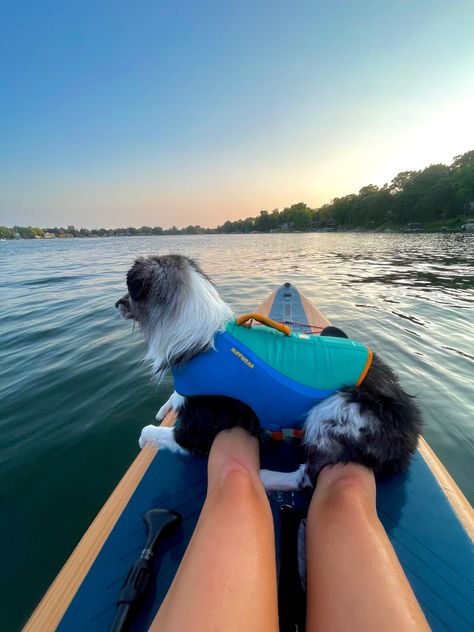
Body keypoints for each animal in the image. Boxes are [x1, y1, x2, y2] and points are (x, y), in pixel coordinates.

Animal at [115, 254, 422, 492]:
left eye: (130, 290)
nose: (117, 304)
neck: (203, 339)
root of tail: (410, 430)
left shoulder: (201, 431)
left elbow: (153, 431)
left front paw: (145, 437)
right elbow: (174, 398)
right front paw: (165, 406)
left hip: (338, 409)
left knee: (308, 477)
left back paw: (263, 477)